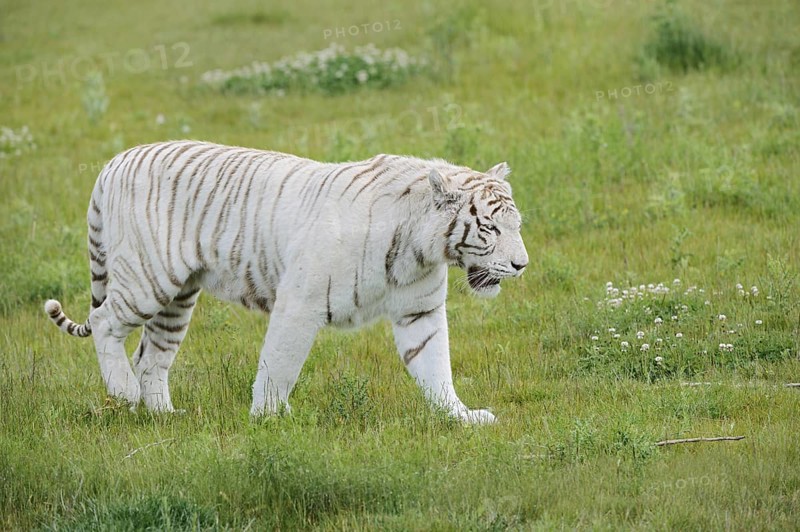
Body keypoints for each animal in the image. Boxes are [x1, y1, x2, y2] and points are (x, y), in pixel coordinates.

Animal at [44, 141, 528, 424]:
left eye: (516, 225)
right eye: (490, 228)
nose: (522, 265)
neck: (419, 249)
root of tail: (114, 161)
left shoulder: (420, 312)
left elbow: (435, 366)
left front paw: (461, 416)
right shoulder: (301, 303)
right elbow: (280, 363)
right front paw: (269, 419)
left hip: (179, 297)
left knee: (151, 356)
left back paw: (165, 415)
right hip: (148, 278)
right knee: (104, 322)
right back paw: (125, 394)